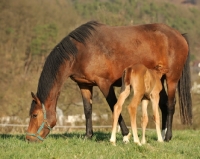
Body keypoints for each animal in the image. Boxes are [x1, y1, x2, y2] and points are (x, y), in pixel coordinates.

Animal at [25, 20, 191, 142]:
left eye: (34, 115)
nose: (28, 138)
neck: (81, 52)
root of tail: (180, 35)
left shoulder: (105, 84)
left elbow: (114, 106)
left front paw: (125, 135)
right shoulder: (84, 84)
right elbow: (87, 109)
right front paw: (88, 136)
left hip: (171, 79)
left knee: (170, 105)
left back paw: (167, 137)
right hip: (158, 81)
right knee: (162, 105)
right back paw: (161, 135)